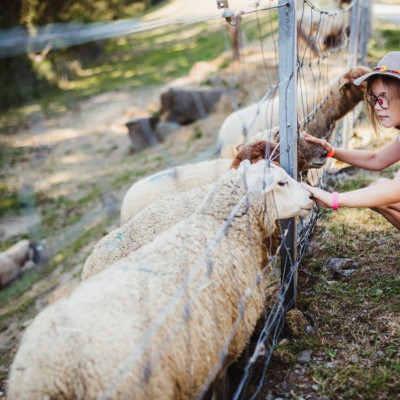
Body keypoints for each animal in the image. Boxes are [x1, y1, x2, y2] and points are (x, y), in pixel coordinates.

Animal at [7, 160, 314, 400]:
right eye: (281, 183)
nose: (312, 197)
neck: (221, 227)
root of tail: (45, 377)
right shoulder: (229, 333)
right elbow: (225, 379)